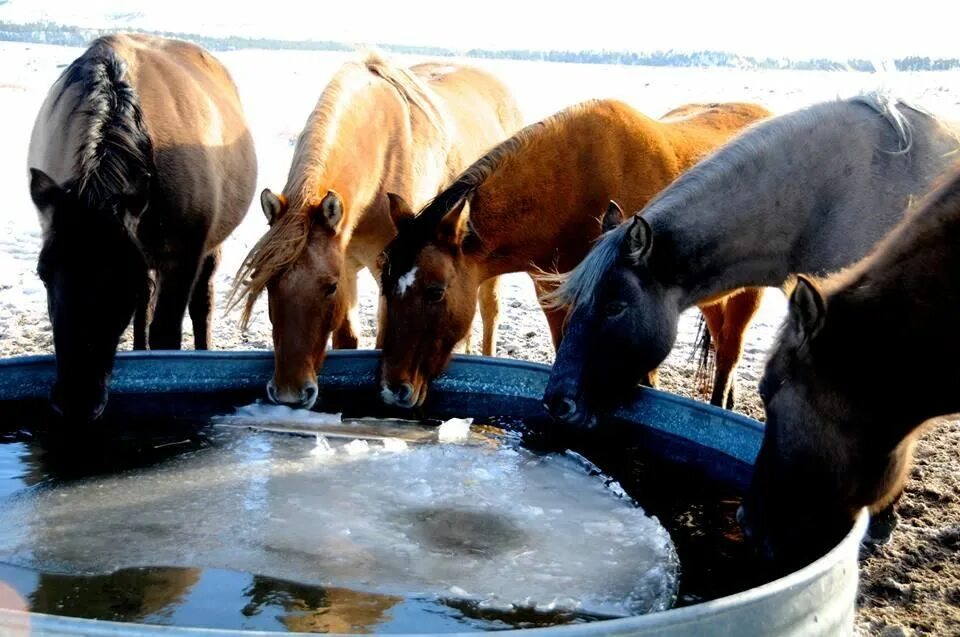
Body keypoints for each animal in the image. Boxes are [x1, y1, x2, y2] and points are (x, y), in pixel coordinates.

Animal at [28, 34, 256, 422]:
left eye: (121, 276)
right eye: (43, 273)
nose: (76, 401)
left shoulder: (182, 257)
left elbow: (167, 334)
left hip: (208, 249)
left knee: (202, 303)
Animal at [378, 99, 768, 408]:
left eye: (435, 292)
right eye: (386, 287)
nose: (393, 390)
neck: (574, 188)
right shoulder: (553, 296)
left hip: (749, 295)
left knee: (729, 355)